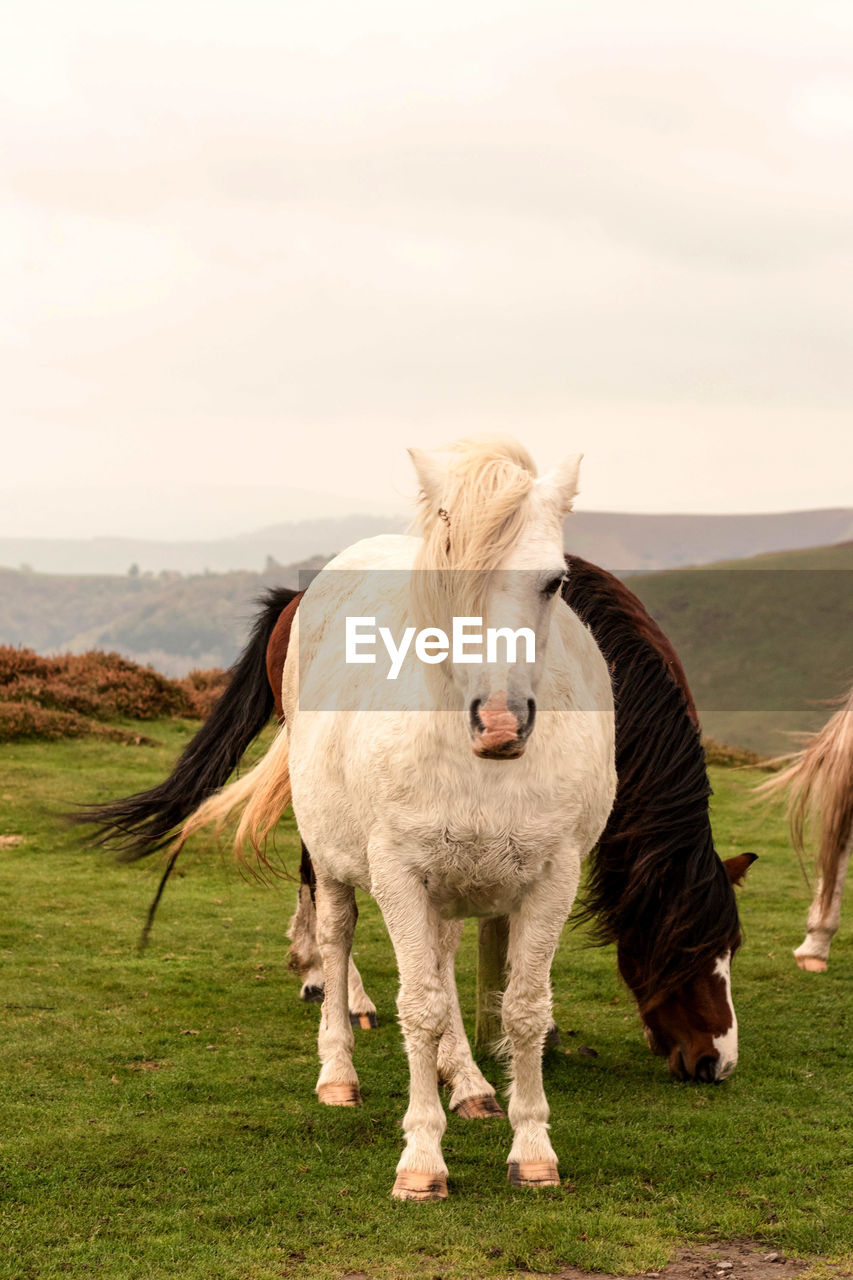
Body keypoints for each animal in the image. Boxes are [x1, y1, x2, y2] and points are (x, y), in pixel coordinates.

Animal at [163, 435, 617, 1192]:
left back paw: (469, 1085)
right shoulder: (401, 877)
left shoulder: (552, 878)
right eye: (444, 575)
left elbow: (523, 1009)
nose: (498, 723)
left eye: (553, 581)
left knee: (442, 961)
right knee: (336, 938)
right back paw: (338, 1073)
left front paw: (531, 1151)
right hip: (334, 862)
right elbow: (420, 1009)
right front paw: (421, 1161)